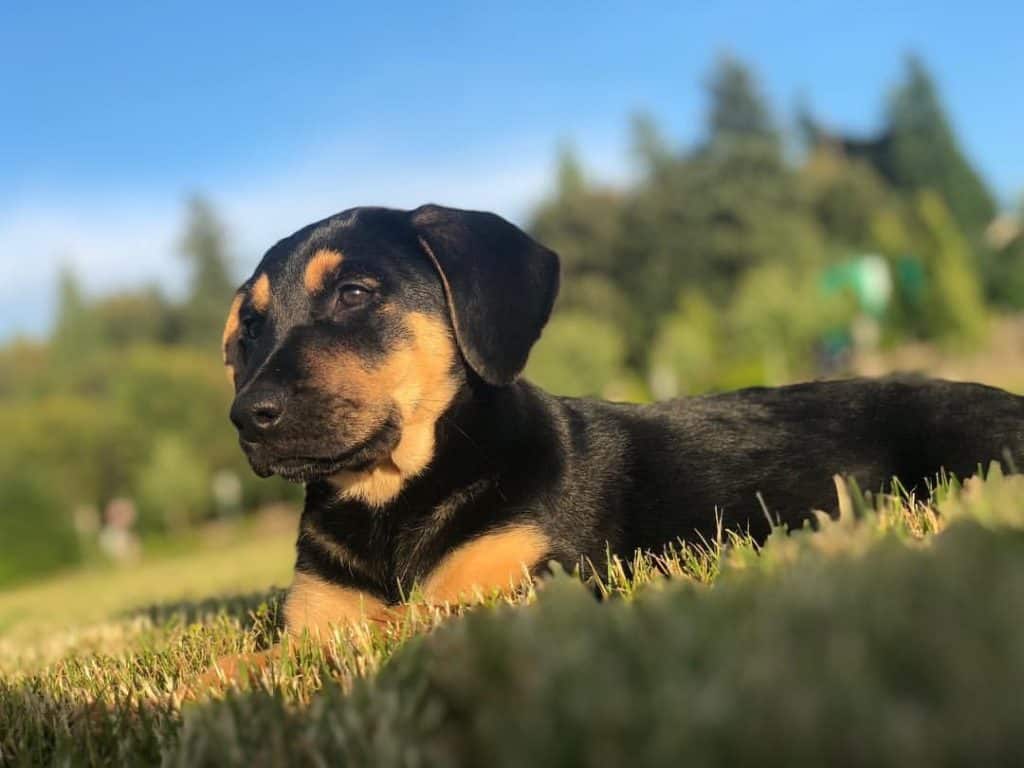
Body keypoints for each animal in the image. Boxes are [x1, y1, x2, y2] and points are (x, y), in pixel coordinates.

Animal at [218, 204, 1024, 643]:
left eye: (353, 293)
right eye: (249, 330)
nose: (246, 418)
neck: (393, 496)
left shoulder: (522, 589)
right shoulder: (320, 612)